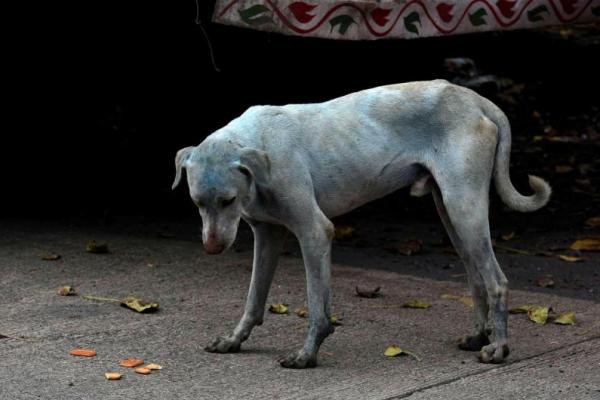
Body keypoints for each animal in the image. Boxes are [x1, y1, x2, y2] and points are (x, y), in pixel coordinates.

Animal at [171, 80, 552, 368]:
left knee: (497, 281)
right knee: (476, 278)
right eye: (197, 203)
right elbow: (253, 299)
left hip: (464, 206)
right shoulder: (266, 236)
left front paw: (307, 354)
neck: (259, 143)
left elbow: (317, 306)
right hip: (451, 213)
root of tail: (477, 100)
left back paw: (498, 348)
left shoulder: (314, 232)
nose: (212, 248)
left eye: (228, 201)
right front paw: (234, 339)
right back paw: (478, 336)